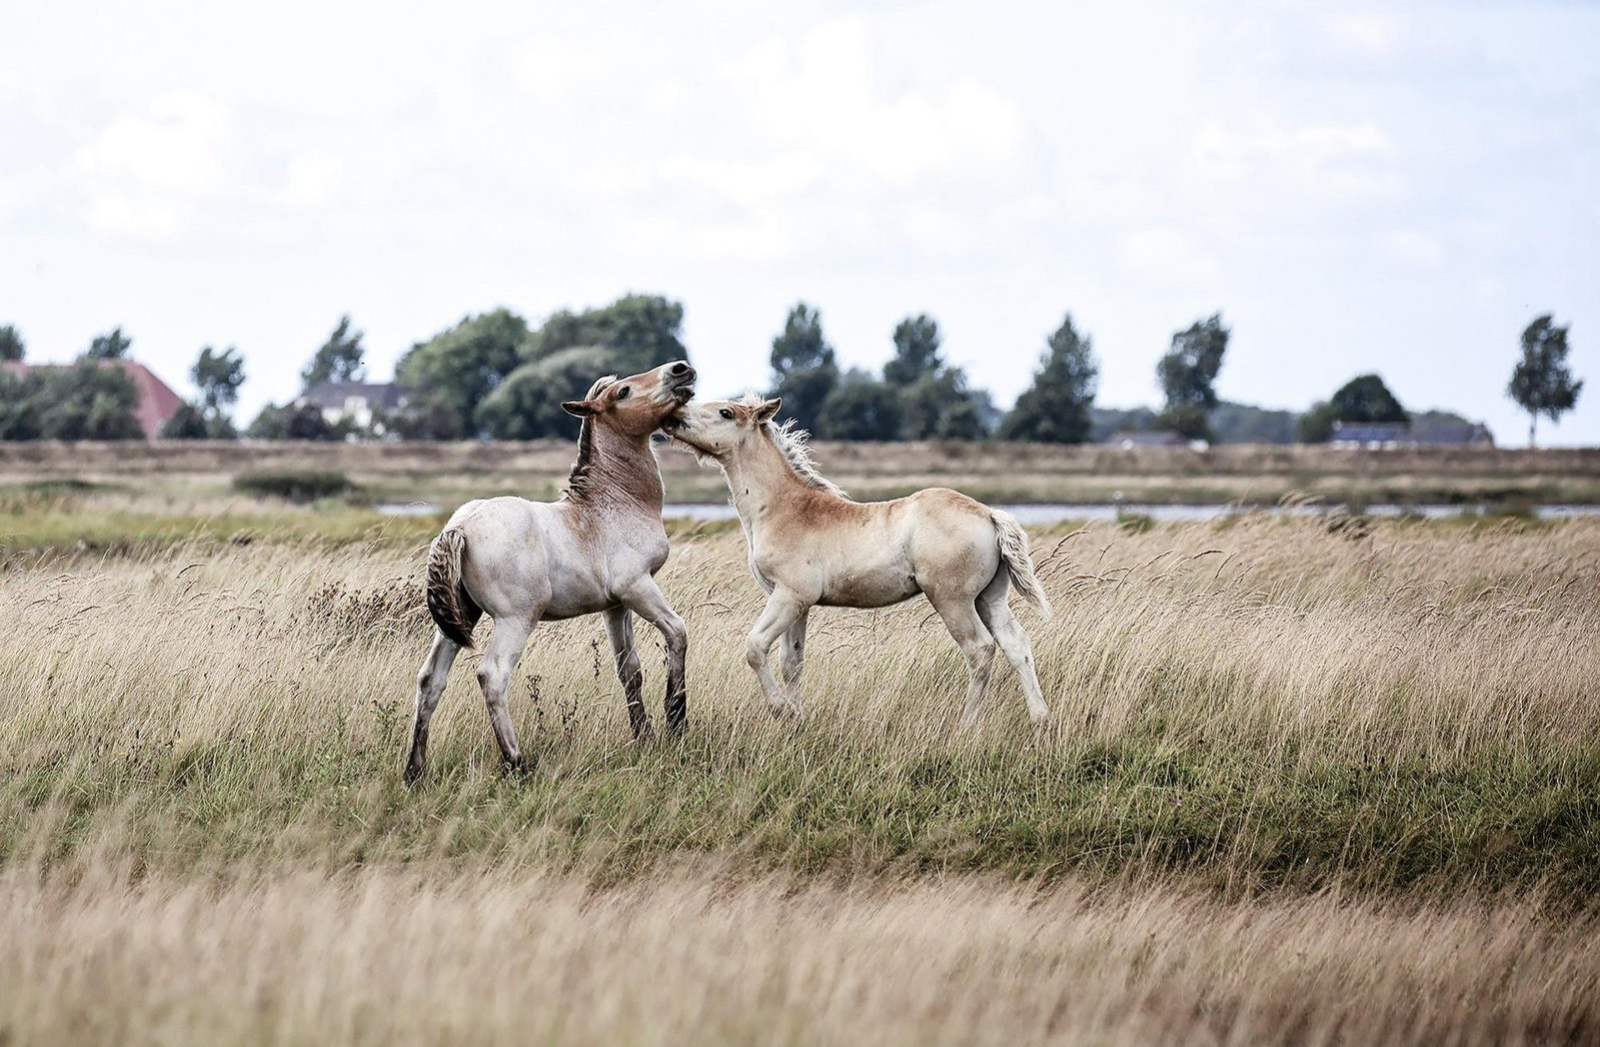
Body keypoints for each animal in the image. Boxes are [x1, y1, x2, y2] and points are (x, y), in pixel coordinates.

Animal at [403, 365, 697, 784]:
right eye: (623, 392)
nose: (680, 370)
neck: (613, 504)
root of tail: (459, 527)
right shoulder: (638, 587)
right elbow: (677, 632)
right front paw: (676, 722)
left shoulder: (615, 606)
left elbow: (630, 670)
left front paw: (645, 737)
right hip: (516, 619)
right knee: (492, 675)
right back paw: (516, 762)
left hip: (459, 621)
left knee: (430, 680)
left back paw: (415, 771)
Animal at [668, 395, 1056, 730]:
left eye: (725, 413)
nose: (674, 417)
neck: (782, 509)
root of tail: (989, 514)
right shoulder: (797, 603)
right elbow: (792, 662)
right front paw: (796, 719)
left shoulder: (790, 595)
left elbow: (755, 647)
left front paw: (782, 710)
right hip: (989, 597)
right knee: (1016, 645)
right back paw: (1040, 718)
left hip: (953, 599)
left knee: (979, 650)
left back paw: (968, 724)